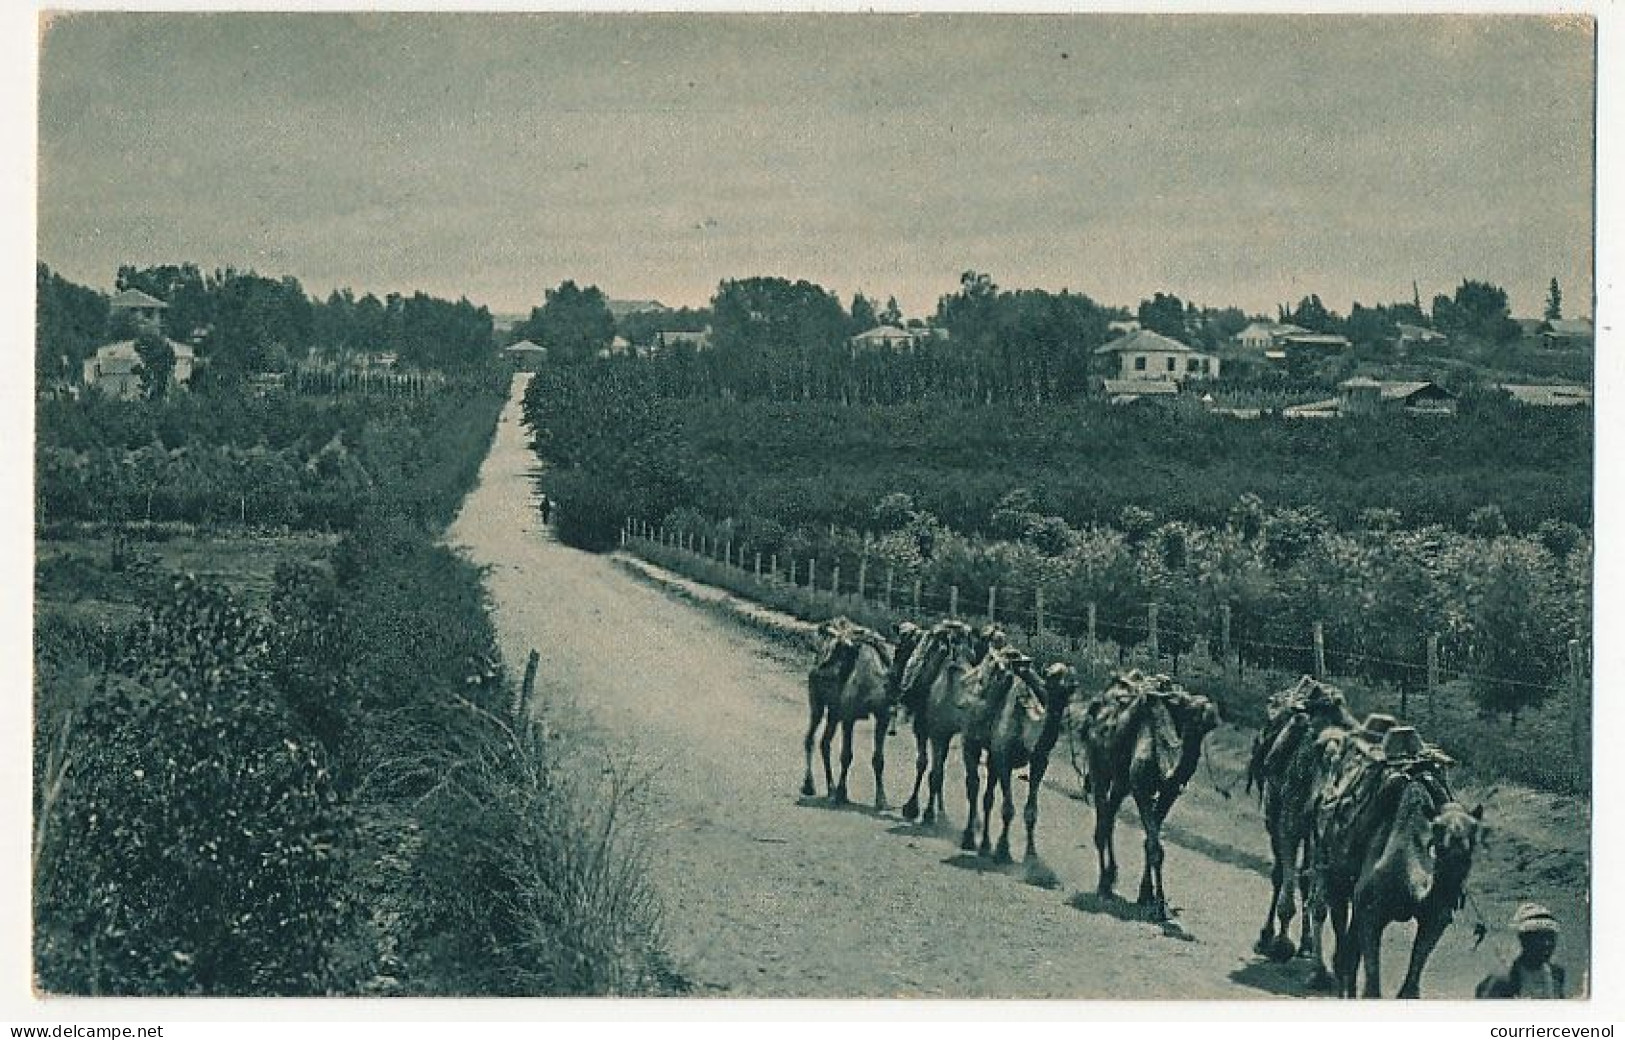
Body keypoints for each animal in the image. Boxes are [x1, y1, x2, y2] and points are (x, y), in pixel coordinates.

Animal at [975, 663, 1079, 864]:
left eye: (1072, 674)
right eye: (1054, 675)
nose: (1072, 684)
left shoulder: (1039, 761)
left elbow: (1031, 811)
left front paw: (1031, 854)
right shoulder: (1004, 759)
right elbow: (1007, 809)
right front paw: (1003, 850)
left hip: (993, 757)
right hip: (994, 754)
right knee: (988, 798)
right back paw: (984, 846)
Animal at [1066, 676, 1222, 916]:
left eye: (1209, 724)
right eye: (1191, 712)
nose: (1212, 714)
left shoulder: (1168, 793)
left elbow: (1151, 841)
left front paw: (1146, 895)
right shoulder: (1141, 789)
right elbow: (1155, 846)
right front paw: (1159, 905)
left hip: (1121, 782)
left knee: (1109, 816)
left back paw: (1111, 878)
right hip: (1099, 767)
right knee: (1102, 820)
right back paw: (1103, 886)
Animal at [1248, 679, 1365, 962]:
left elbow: (1306, 878)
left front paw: (1298, 942)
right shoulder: (1288, 821)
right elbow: (1285, 874)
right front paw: (1280, 942)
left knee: (1301, 874)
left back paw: (1304, 942)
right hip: (1279, 816)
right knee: (1282, 872)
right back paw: (1271, 937)